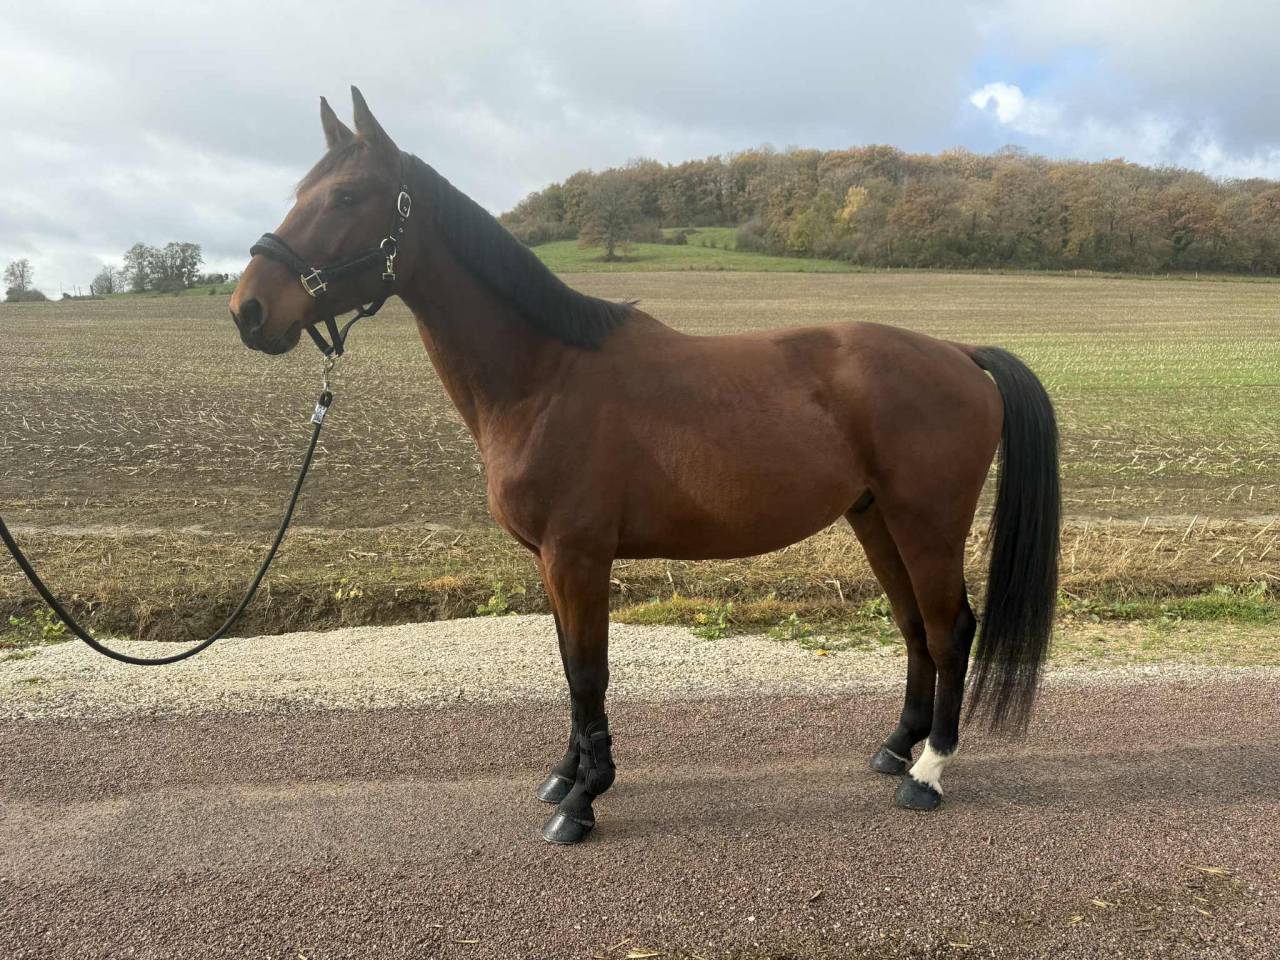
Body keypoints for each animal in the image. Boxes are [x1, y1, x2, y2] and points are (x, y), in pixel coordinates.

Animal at [230, 88, 1060, 845]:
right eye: (300, 192)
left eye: (346, 196)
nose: (249, 310)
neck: (543, 375)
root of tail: (959, 354)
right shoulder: (550, 562)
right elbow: (569, 668)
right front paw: (567, 773)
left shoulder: (578, 555)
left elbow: (589, 672)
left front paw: (583, 800)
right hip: (875, 519)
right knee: (914, 626)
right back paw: (895, 749)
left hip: (927, 524)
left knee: (949, 628)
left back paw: (929, 773)